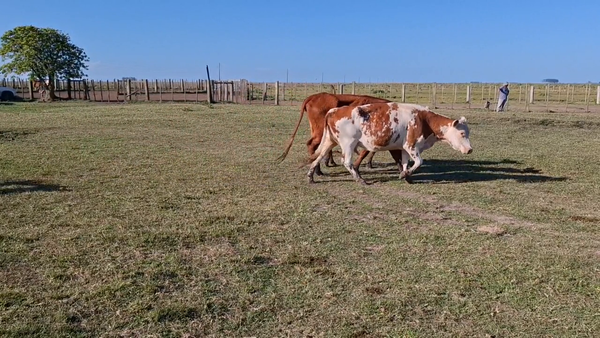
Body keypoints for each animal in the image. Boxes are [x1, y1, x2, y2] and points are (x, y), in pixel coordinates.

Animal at [310, 102, 474, 185]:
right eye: (462, 133)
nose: (470, 149)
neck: (424, 119)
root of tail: (333, 110)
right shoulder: (411, 146)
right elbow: (419, 162)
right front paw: (405, 174)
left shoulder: (405, 148)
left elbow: (405, 163)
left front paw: (406, 176)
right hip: (349, 143)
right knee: (346, 162)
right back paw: (360, 179)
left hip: (330, 141)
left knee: (318, 157)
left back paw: (310, 176)